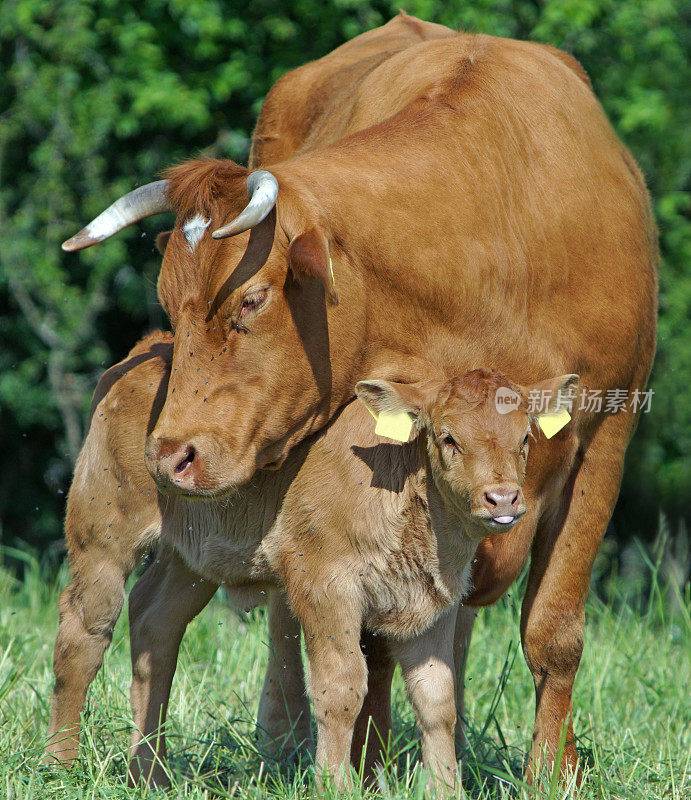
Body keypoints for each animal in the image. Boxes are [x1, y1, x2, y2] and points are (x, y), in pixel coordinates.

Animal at [58, 15, 656, 784]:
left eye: (250, 299)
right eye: (170, 304)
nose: (170, 456)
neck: (499, 233)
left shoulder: (604, 442)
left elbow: (549, 632)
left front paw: (551, 774)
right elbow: (363, 649)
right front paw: (365, 768)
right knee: (141, 621)